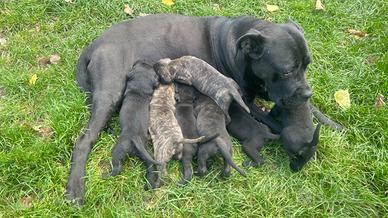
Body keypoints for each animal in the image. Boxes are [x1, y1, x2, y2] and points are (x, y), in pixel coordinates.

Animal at [66, 13, 314, 204]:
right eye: (287, 71)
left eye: (307, 65)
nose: (307, 94)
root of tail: (96, 43)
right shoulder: (248, 102)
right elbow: (275, 123)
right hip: (110, 94)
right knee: (84, 141)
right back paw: (75, 188)